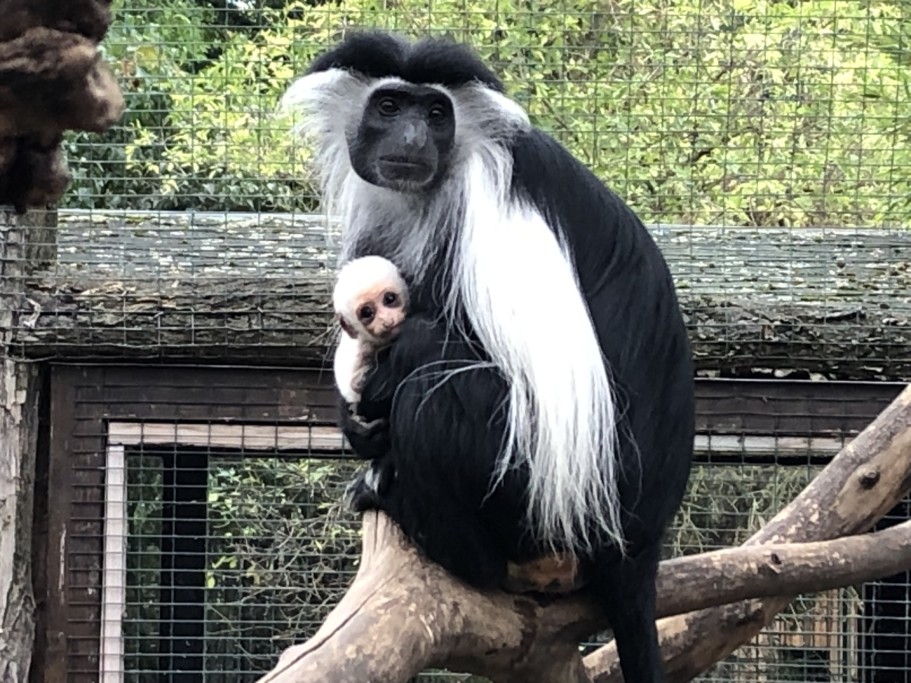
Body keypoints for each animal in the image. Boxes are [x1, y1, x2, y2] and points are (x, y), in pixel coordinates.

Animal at [282, 30, 696, 683]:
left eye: (436, 114)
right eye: (389, 107)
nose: (412, 140)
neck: (434, 187)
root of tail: (640, 545)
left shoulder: (492, 201)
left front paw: (385, 382)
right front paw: (356, 424)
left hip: (547, 504)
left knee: (434, 398)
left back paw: (421, 521)